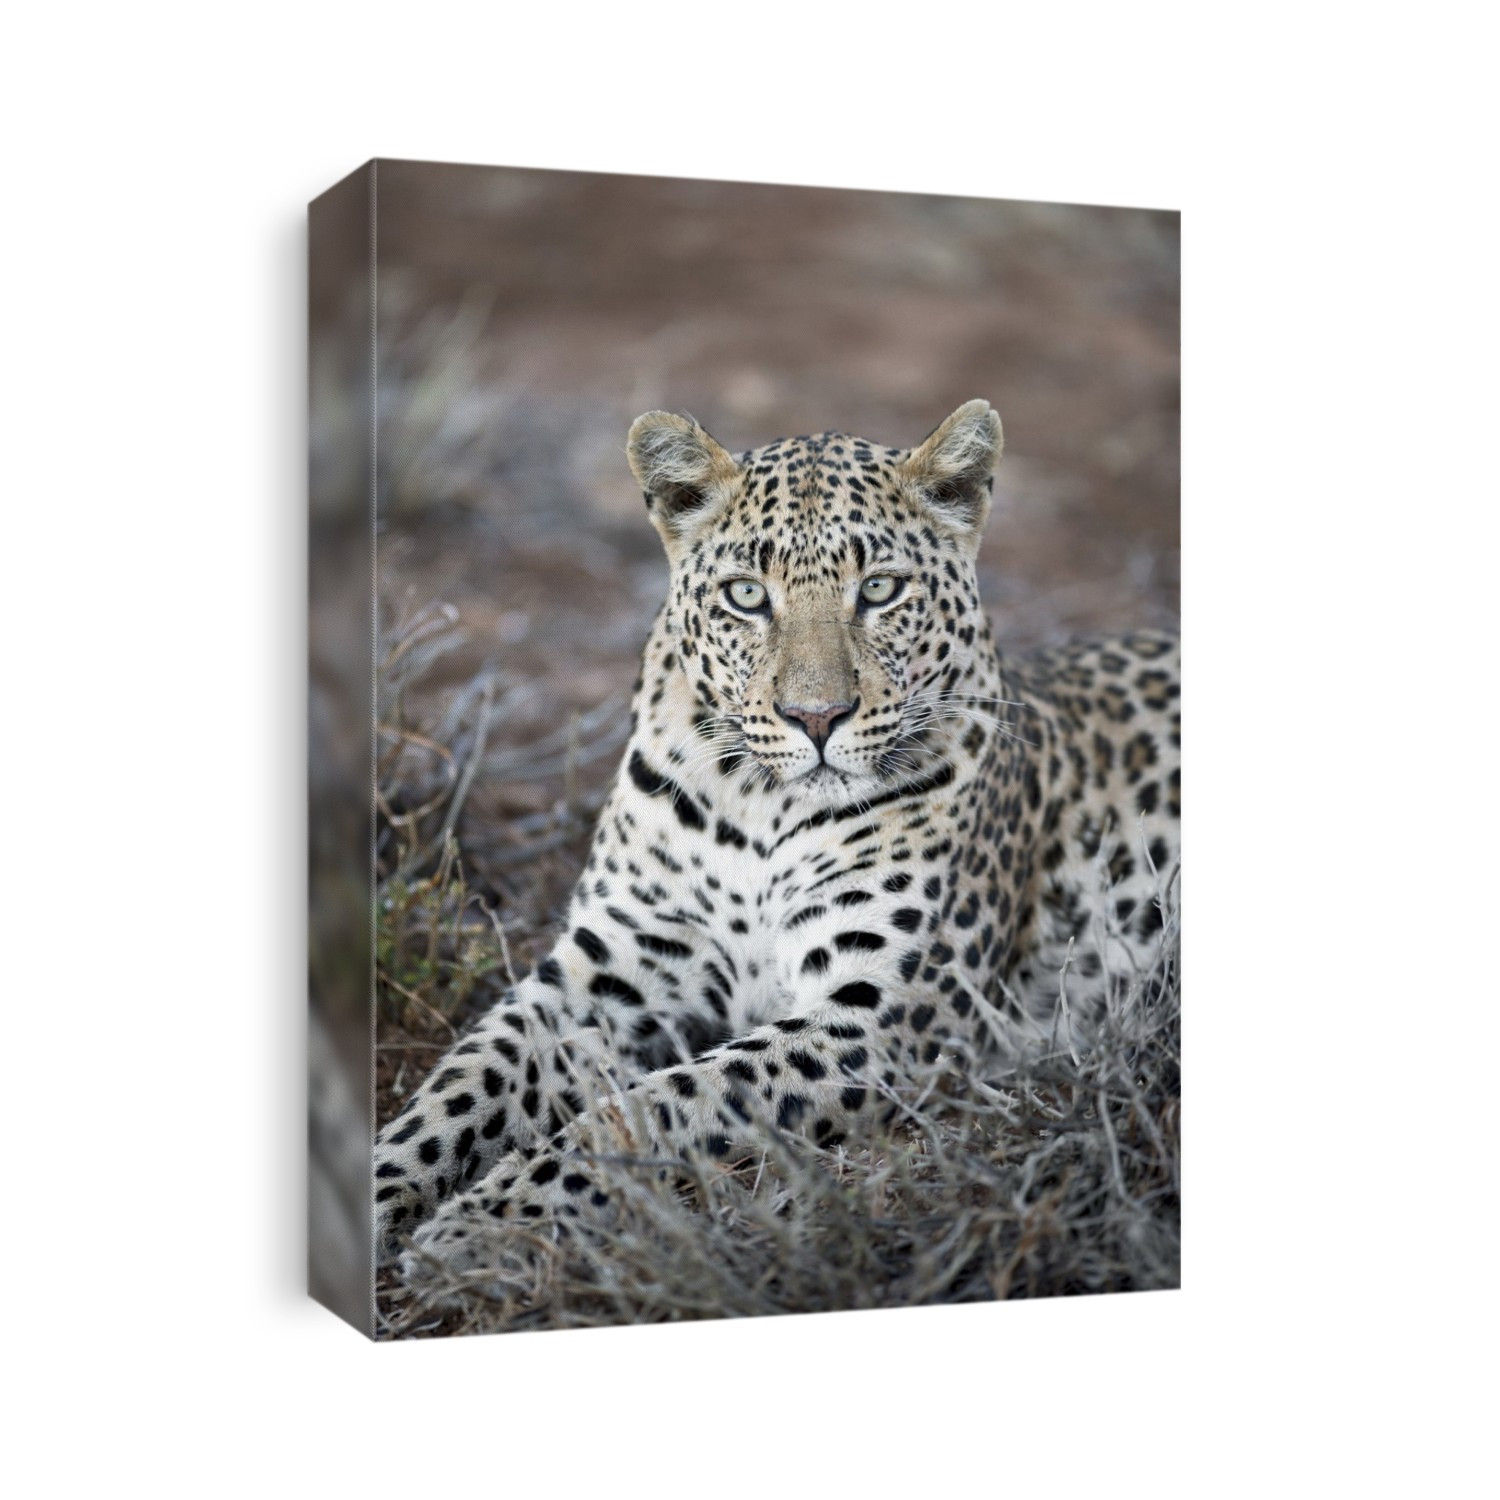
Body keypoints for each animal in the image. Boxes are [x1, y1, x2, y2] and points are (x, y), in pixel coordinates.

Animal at [375, 399, 1180, 1279]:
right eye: (747, 597)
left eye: (880, 590)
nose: (816, 718)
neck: (761, 810)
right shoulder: (603, 972)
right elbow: (468, 1077)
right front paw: (380, 1189)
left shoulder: (878, 1013)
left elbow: (660, 1102)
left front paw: (489, 1220)